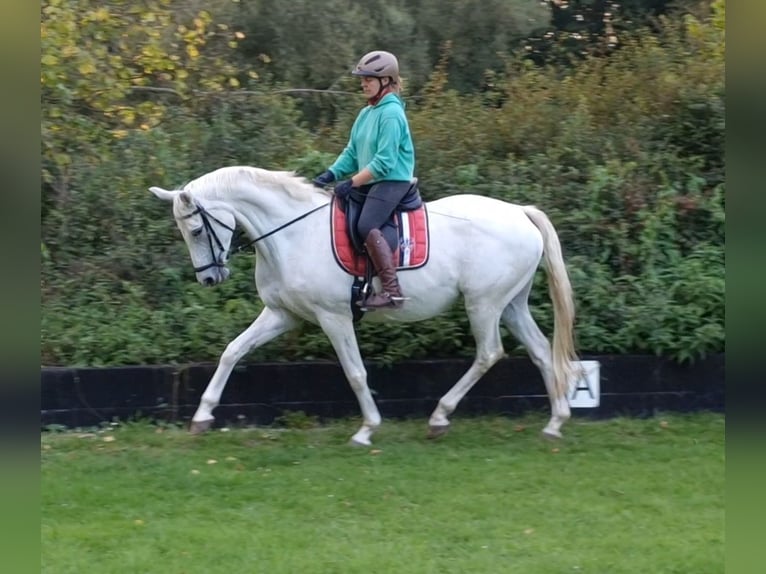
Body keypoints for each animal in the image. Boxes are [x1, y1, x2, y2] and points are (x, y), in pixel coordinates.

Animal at [150, 165, 580, 446]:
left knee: (489, 353)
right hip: (511, 304)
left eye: (195, 229)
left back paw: (440, 416)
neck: (291, 234)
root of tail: (520, 212)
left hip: (484, 304)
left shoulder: (334, 316)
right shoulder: (282, 314)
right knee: (541, 350)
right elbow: (232, 351)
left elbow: (355, 373)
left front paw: (367, 429)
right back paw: (555, 423)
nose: (209, 279)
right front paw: (202, 416)